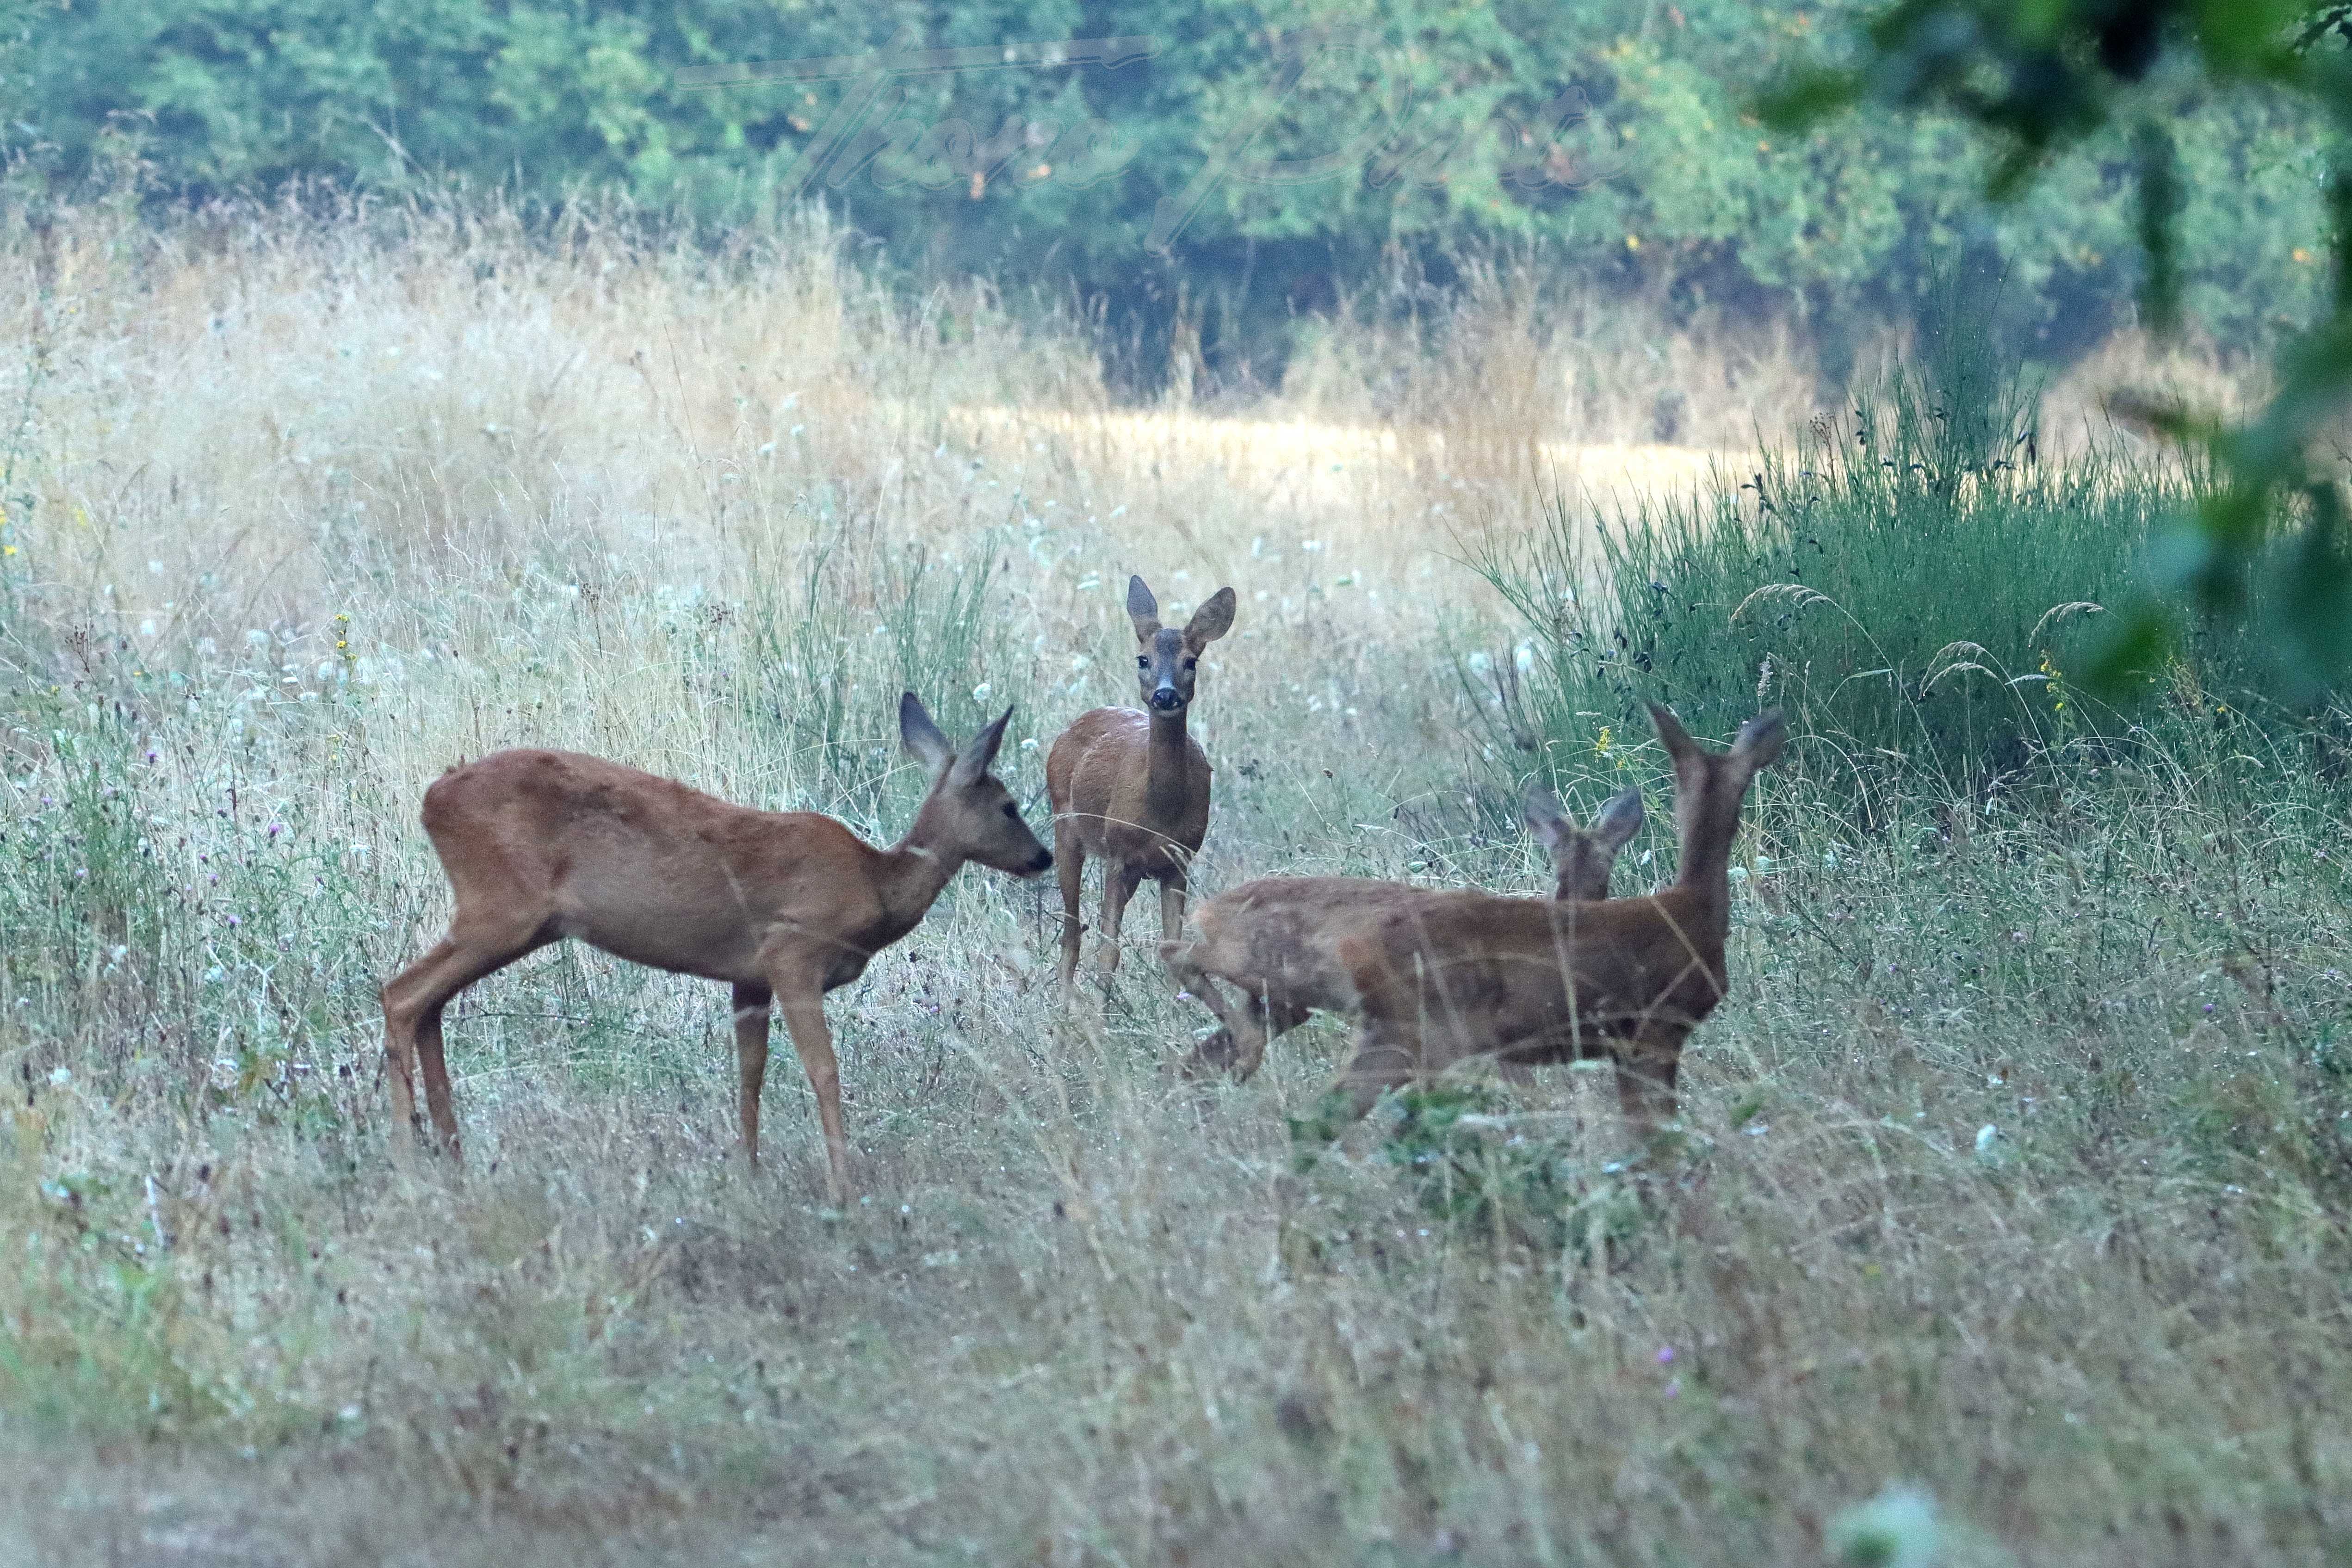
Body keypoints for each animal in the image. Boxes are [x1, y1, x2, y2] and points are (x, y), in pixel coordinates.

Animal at [378, 691, 1049, 1213]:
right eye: (1010, 806)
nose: (1042, 856)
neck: (877, 884)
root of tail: (432, 798)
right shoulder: (791, 951)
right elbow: (824, 1069)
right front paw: (843, 1190)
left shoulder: (747, 979)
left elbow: (749, 1073)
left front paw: (746, 1174)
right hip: (500, 909)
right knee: (401, 993)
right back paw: (410, 1165)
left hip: (511, 920)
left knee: (429, 1002)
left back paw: (452, 1157)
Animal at [1053, 576, 1242, 992]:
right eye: (1143, 659)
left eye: (1191, 661)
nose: (1166, 694)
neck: (1160, 811)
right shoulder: (1118, 853)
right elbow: (1108, 951)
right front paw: (1100, 1009)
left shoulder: (1179, 859)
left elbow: (1174, 948)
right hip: (1065, 828)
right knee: (1072, 932)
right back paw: (1063, 1003)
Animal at [1152, 780, 1637, 1081]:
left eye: (1606, 870)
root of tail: (1211, 910)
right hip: (1257, 965)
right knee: (1175, 952)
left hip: (1280, 1000)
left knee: (1201, 1056)